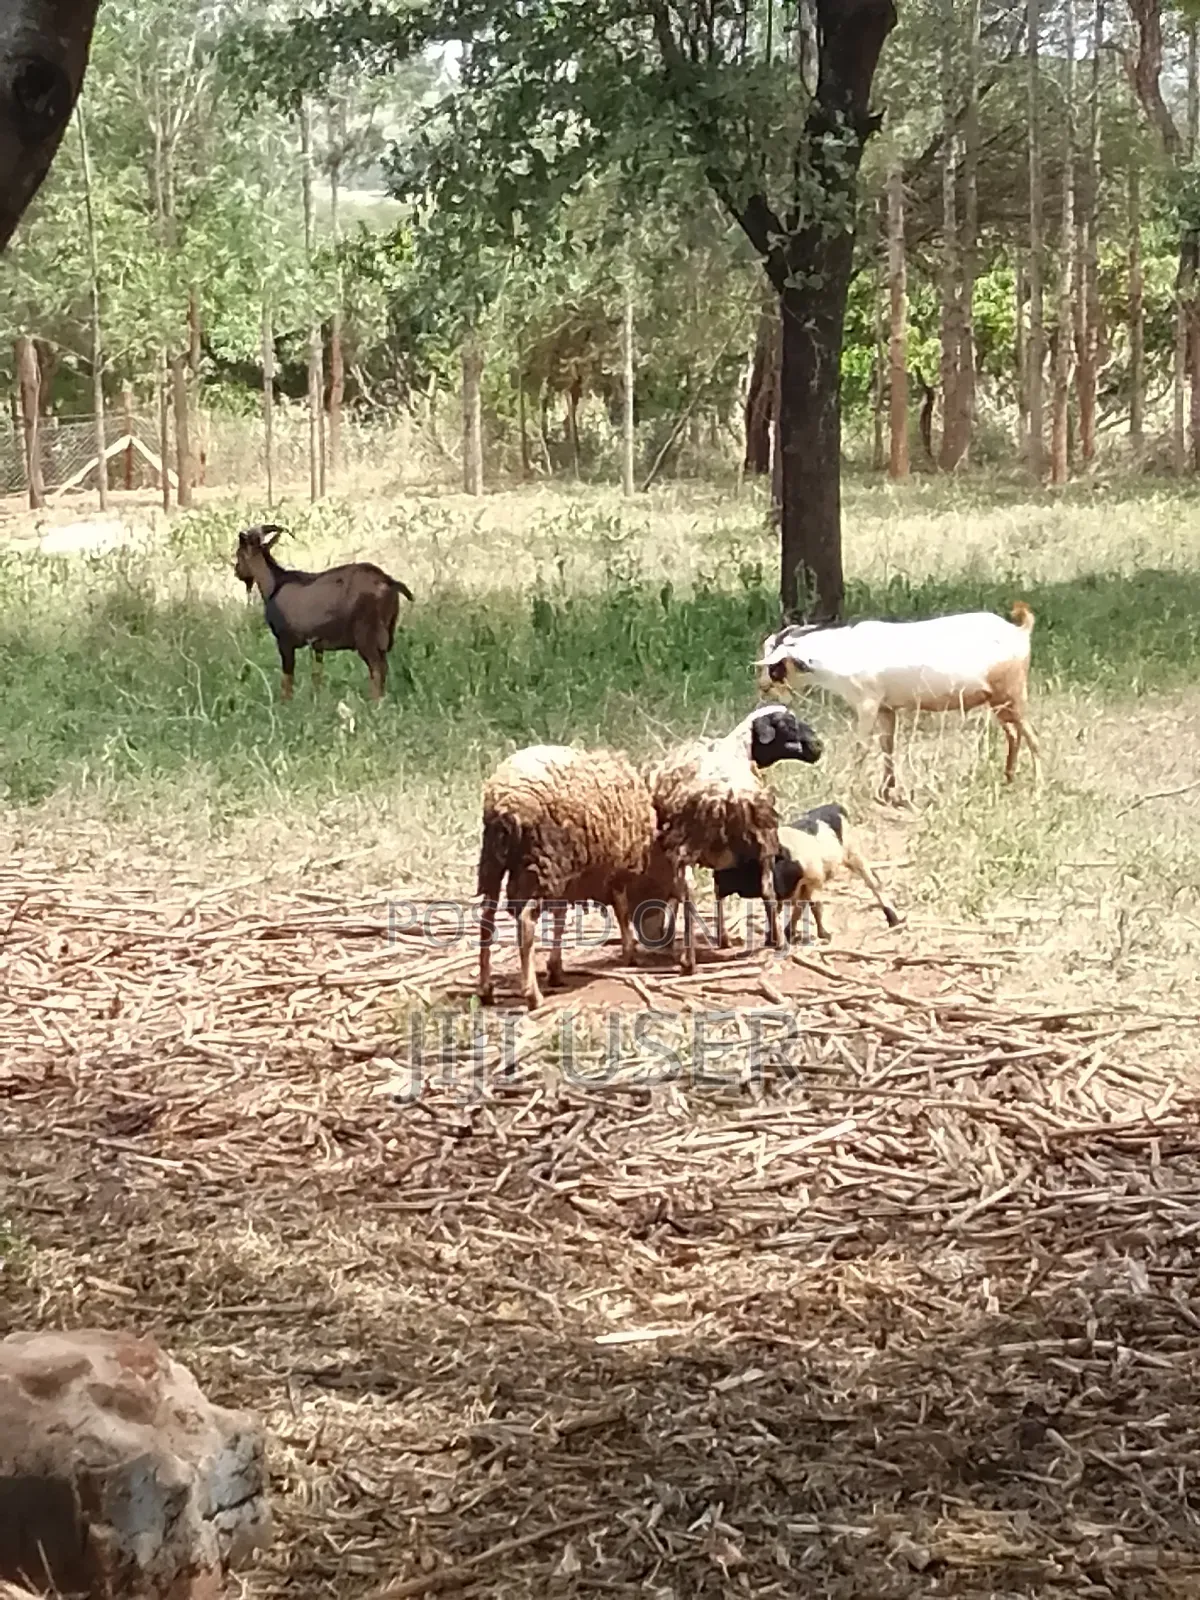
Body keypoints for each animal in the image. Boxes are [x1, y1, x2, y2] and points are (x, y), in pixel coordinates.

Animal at [234, 524, 414, 702]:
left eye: (239, 553)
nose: (237, 571)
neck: (275, 584)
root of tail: (388, 582)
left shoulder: (285, 641)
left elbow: (287, 679)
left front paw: (286, 704)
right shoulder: (317, 645)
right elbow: (317, 676)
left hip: (366, 634)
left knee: (377, 668)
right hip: (387, 629)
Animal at [713, 803, 903, 947]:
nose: (718, 879)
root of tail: (834, 806)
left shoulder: (813, 880)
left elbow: (814, 906)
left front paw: (823, 934)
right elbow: (786, 907)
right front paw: (776, 937)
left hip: (853, 853)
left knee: (872, 881)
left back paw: (893, 919)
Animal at [756, 602, 1041, 804]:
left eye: (775, 665)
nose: (762, 685)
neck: (844, 653)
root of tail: (1018, 632)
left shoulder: (868, 704)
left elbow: (861, 748)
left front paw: (849, 790)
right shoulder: (886, 709)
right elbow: (888, 746)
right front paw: (886, 792)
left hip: (1013, 696)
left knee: (1032, 737)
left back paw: (1037, 788)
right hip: (998, 702)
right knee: (1014, 734)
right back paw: (1008, 779)